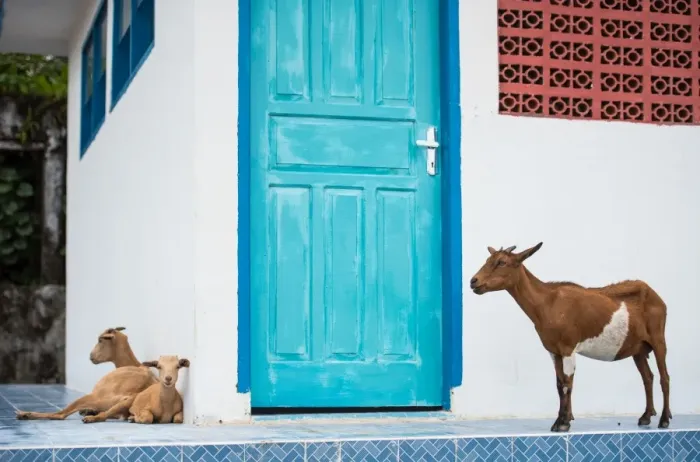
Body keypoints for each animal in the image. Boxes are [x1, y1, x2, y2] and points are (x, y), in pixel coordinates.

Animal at [469, 242, 671, 432]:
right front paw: (559, 421)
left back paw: (664, 420)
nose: (473, 281)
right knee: (648, 377)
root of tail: (657, 297)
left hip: (658, 338)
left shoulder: (568, 348)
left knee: (664, 377)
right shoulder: (554, 351)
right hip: (639, 348)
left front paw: (563, 423)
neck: (547, 303)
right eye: (488, 260)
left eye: (501, 262)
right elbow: (559, 385)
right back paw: (645, 417)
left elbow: (567, 384)